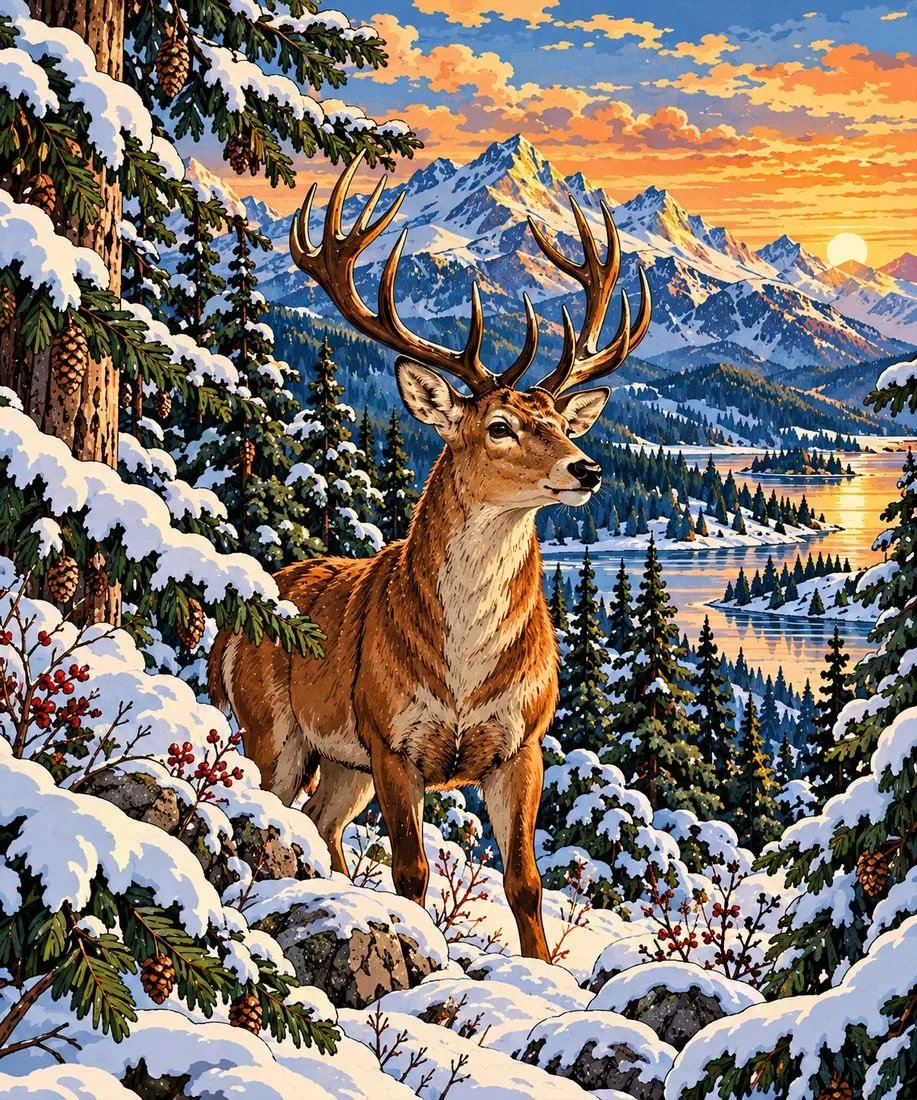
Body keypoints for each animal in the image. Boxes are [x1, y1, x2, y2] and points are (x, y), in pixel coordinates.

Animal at [208, 153, 651, 961]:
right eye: (500, 426)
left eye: (558, 420)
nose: (588, 469)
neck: (464, 675)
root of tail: (232, 619)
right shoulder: (390, 738)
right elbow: (411, 874)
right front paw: (424, 954)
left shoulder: (522, 744)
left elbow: (524, 883)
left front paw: (545, 972)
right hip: (272, 729)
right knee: (273, 808)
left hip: (339, 762)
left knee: (320, 823)